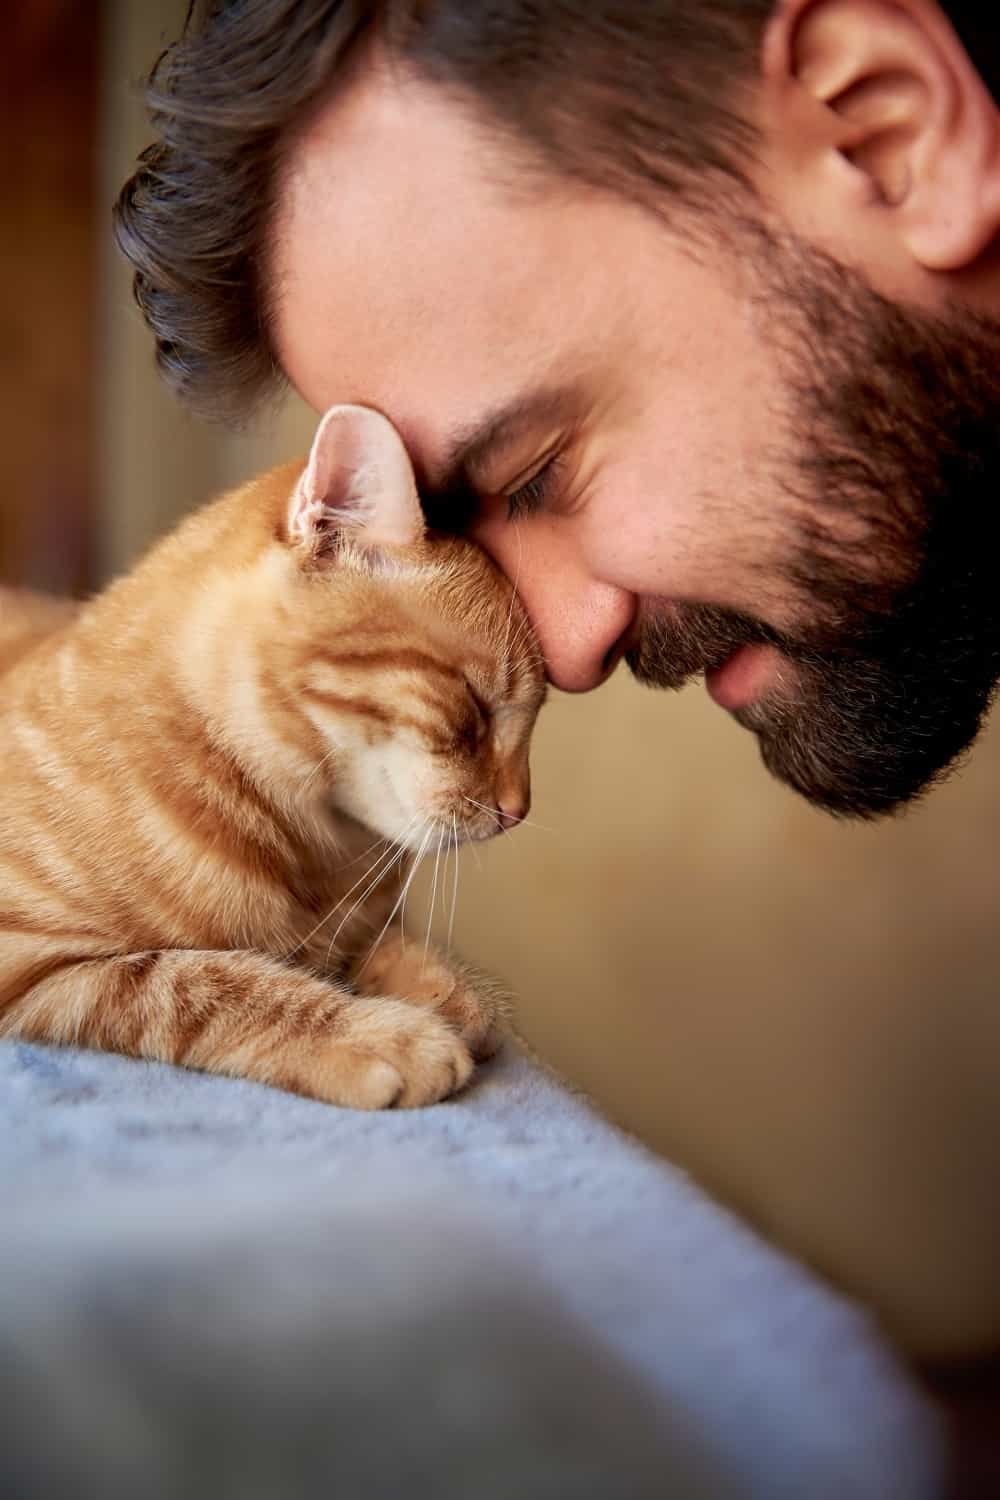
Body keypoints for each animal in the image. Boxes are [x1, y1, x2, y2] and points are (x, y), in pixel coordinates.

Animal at [0, 405, 548, 1110]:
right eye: (475, 709)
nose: (518, 809)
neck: (318, 852)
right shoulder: (34, 958)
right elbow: (206, 981)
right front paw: (384, 1034)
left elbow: (376, 944)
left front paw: (444, 989)